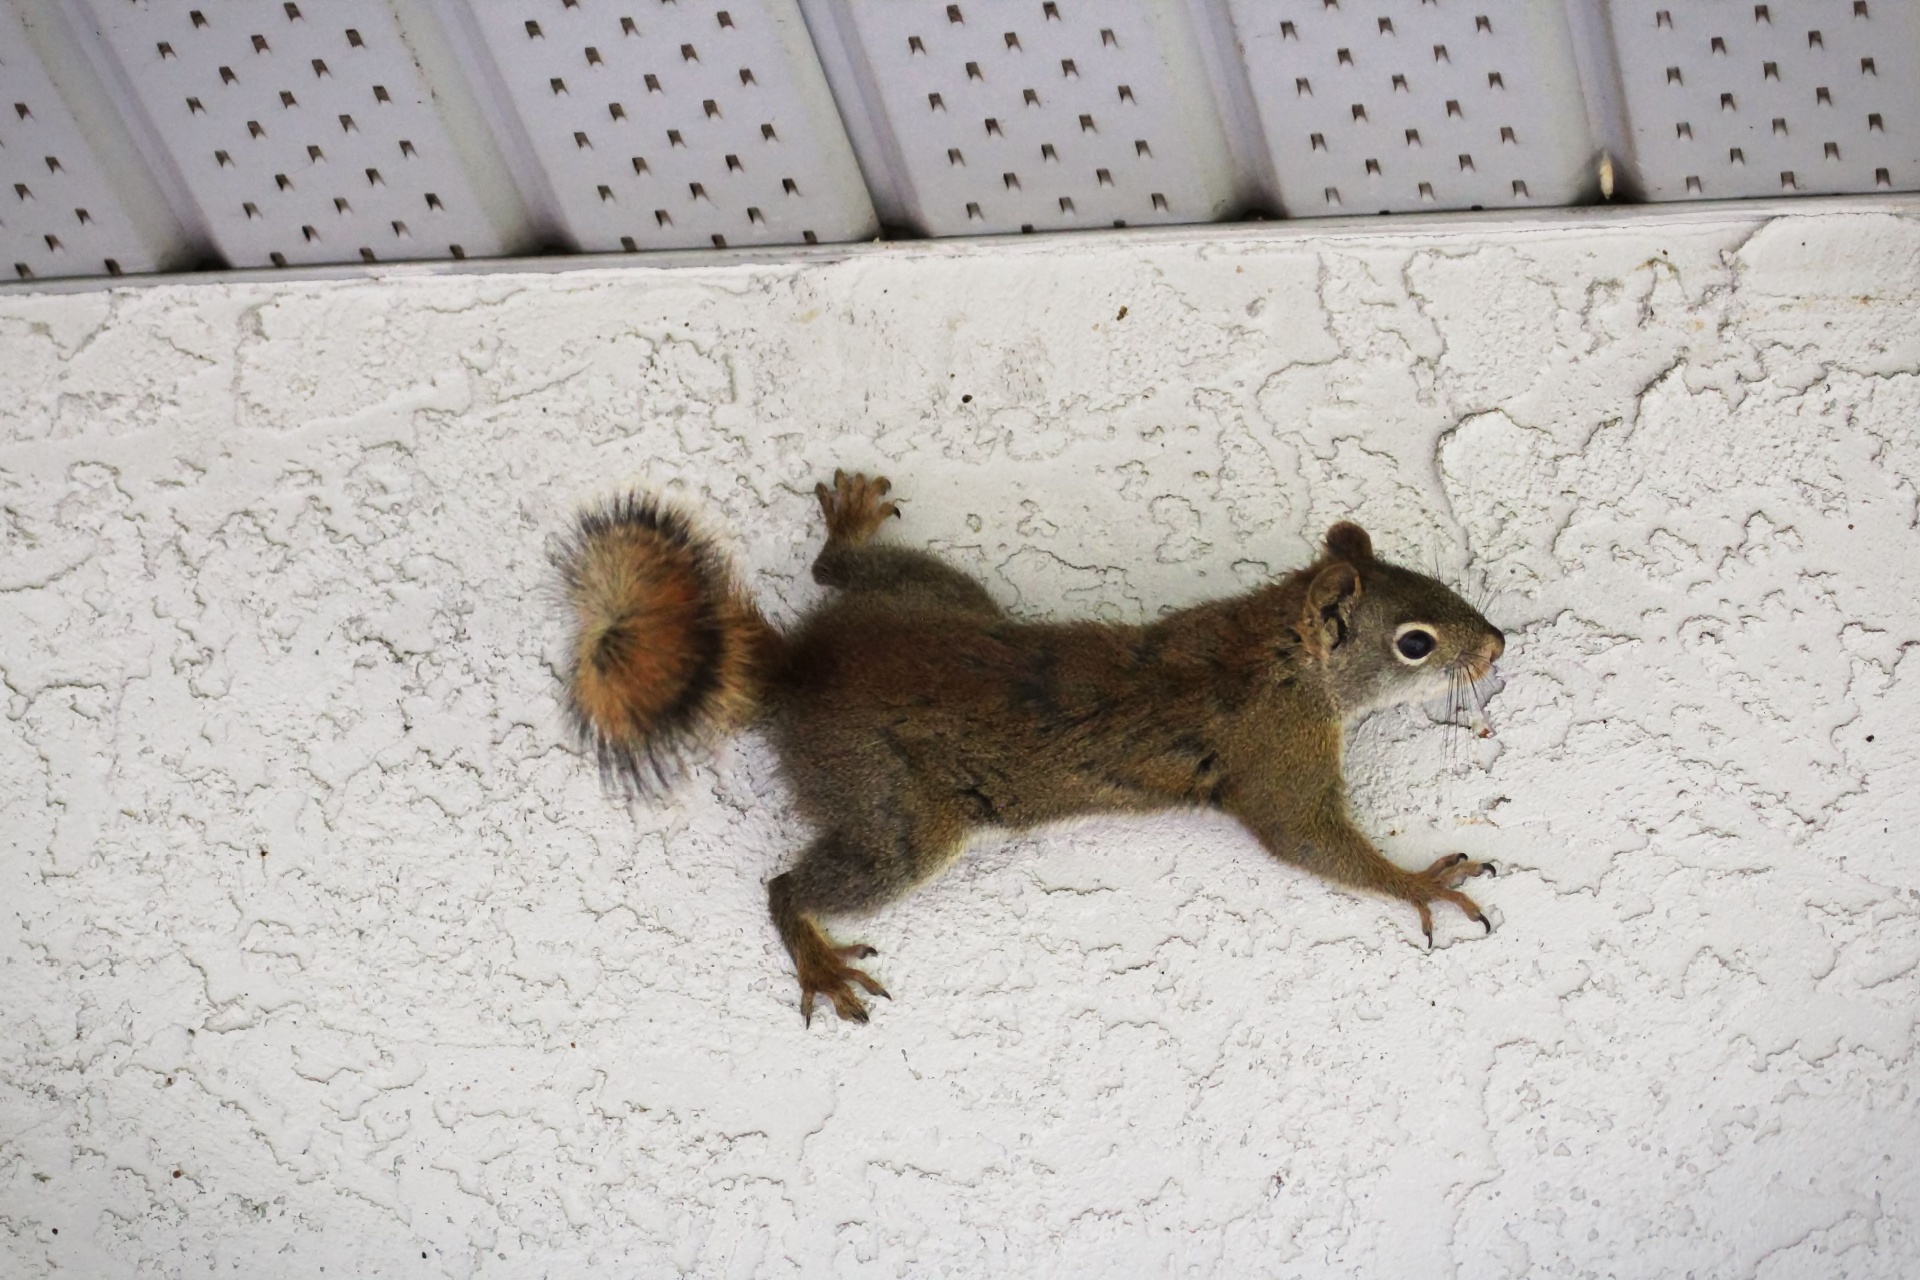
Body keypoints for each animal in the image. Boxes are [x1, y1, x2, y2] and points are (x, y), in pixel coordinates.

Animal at [557, 471, 1506, 1025]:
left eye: (1437, 583)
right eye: (1415, 643)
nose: (1497, 646)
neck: (1276, 648)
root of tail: (801, 669)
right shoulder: (1276, 755)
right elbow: (1306, 840)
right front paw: (1422, 882)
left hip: (937, 594)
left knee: (836, 574)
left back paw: (852, 529)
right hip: (897, 811)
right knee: (791, 884)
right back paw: (820, 960)